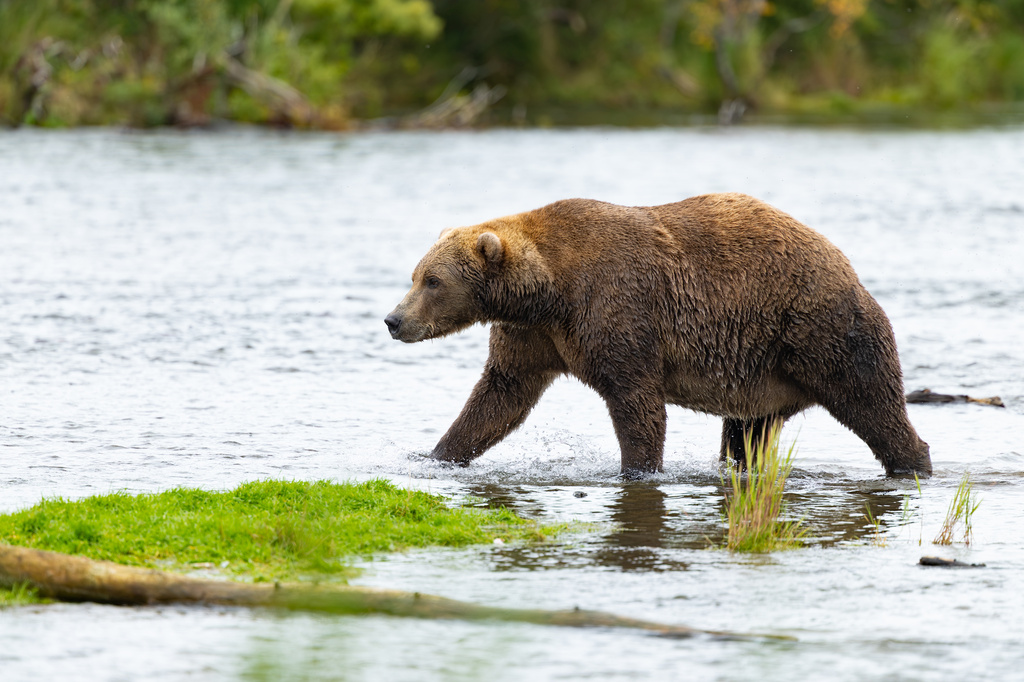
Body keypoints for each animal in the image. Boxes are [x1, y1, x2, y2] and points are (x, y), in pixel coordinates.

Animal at [384, 193, 932, 479]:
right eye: (415, 275)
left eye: (432, 281)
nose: (393, 320)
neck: (549, 290)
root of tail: (847, 266)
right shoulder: (533, 336)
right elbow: (499, 396)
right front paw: (436, 455)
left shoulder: (618, 311)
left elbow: (636, 403)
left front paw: (637, 469)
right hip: (759, 374)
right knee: (747, 434)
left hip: (819, 330)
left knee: (870, 400)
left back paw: (912, 462)